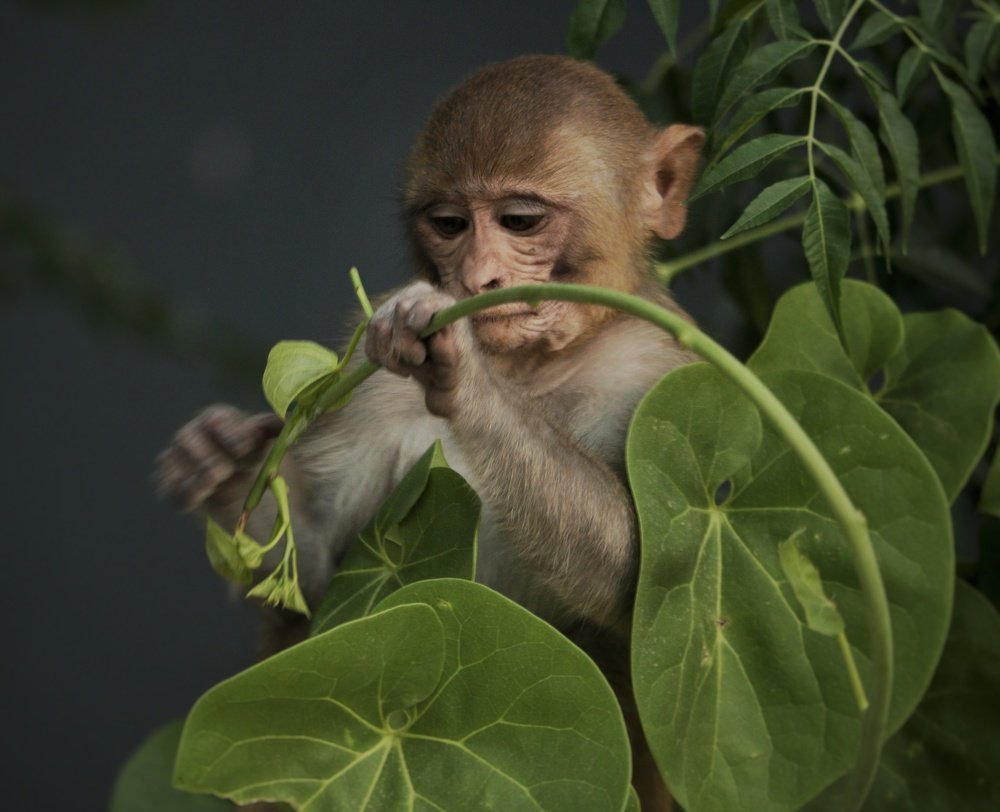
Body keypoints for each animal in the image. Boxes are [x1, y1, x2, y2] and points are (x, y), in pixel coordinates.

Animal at [157, 54, 704, 811]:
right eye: (449, 223)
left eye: (520, 220)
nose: (479, 277)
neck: (533, 371)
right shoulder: (370, 365)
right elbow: (316, 581)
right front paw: (229, 471)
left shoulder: (662, 375)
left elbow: (640, 585)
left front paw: (468, 378)